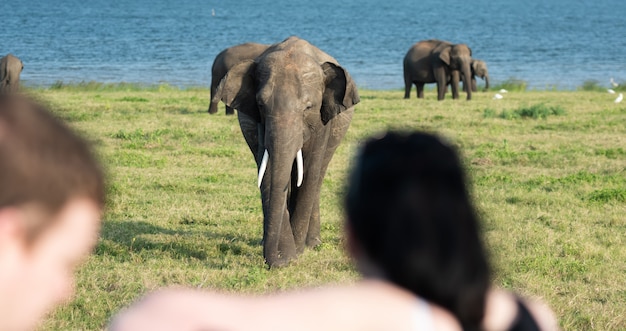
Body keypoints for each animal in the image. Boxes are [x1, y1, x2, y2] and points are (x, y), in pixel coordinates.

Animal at [214, 36, 358, 268]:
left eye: (308, 108)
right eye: (261, 105)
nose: (280, 261)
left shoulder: (322, 121)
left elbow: (309, 172)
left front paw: (297, 252)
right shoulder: (260, 124)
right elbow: (268, 171)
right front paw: (287, 255)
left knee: (317, 177)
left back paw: (312, 244)